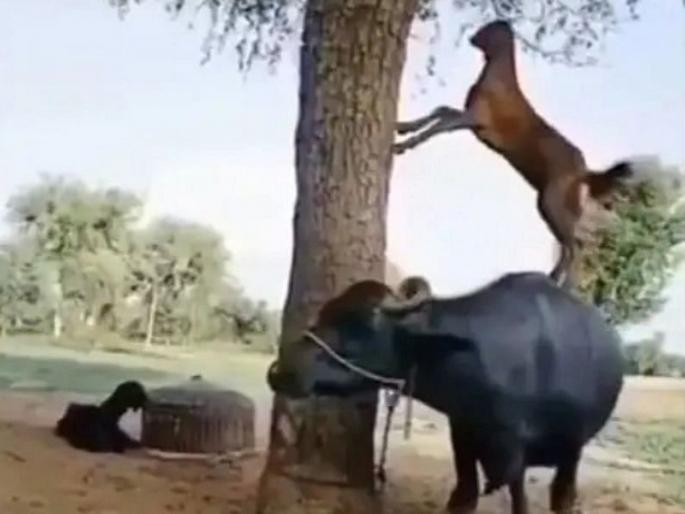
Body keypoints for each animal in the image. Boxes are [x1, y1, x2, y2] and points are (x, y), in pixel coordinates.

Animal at [268, 272, 624, 514]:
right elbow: (463, 498)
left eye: (364, 326)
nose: (280, 372)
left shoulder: (528, 456)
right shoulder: (464, 437)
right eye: (326, 312)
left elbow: (529, 503)